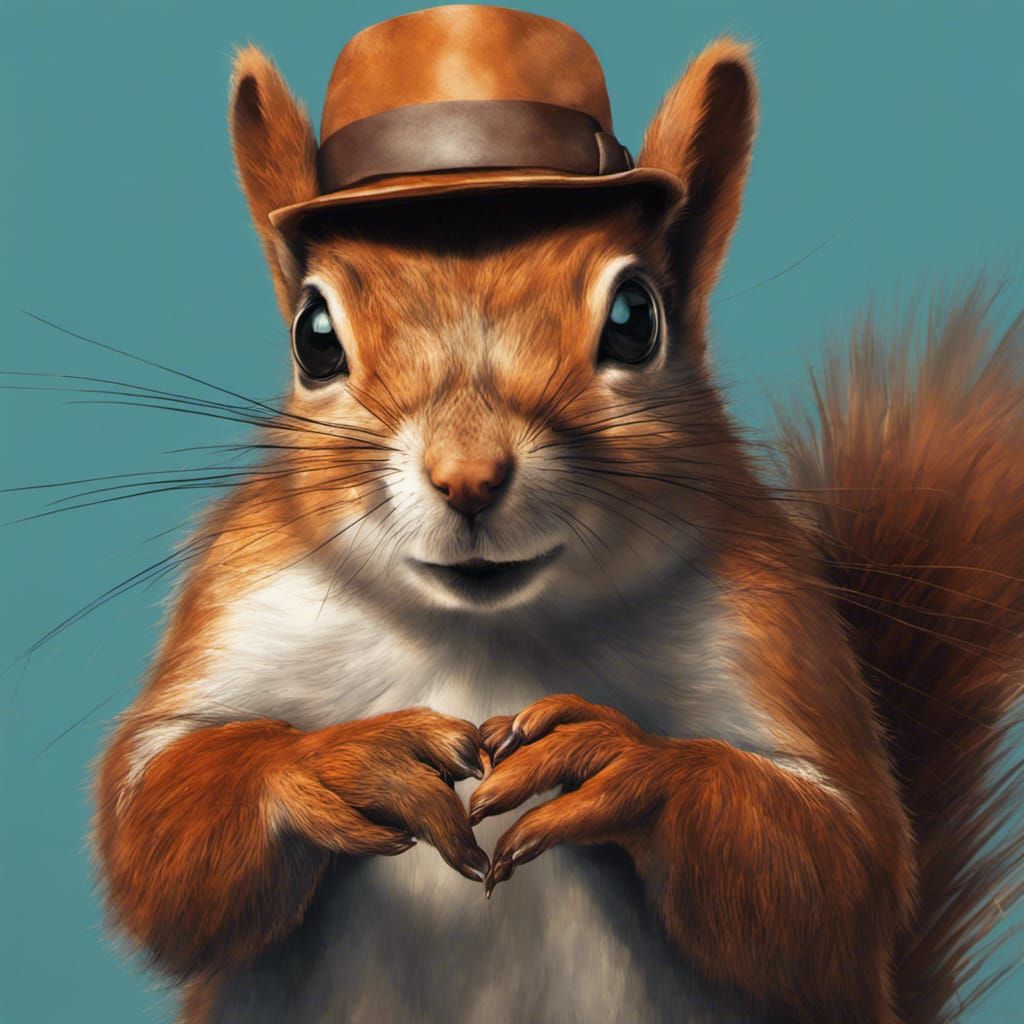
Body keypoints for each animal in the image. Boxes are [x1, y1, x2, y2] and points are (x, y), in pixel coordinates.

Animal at [93, 9, 1023, 1024]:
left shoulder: (775, 627)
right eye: (314, 335)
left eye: (635, 318)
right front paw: (341, 763)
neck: (486, 634)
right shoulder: (242, 596)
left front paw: (618, 763)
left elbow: (835, 867)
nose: (468, 477)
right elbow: (155, 837)